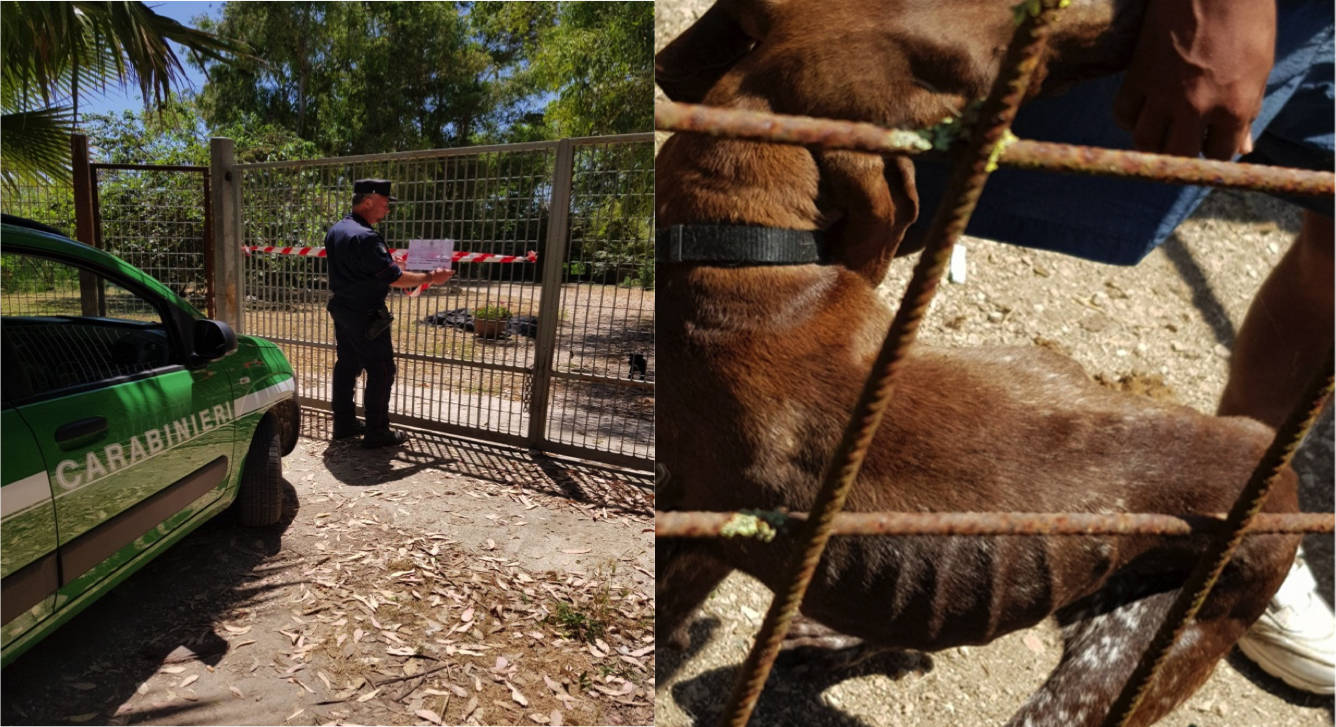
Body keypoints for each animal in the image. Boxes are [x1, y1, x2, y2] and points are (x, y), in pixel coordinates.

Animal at [651, 1, 1298, 727]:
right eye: (990, 70)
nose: (1138, 15)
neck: (736, 258)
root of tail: (1285, 482)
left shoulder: (702, 539)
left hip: (1132, 657)